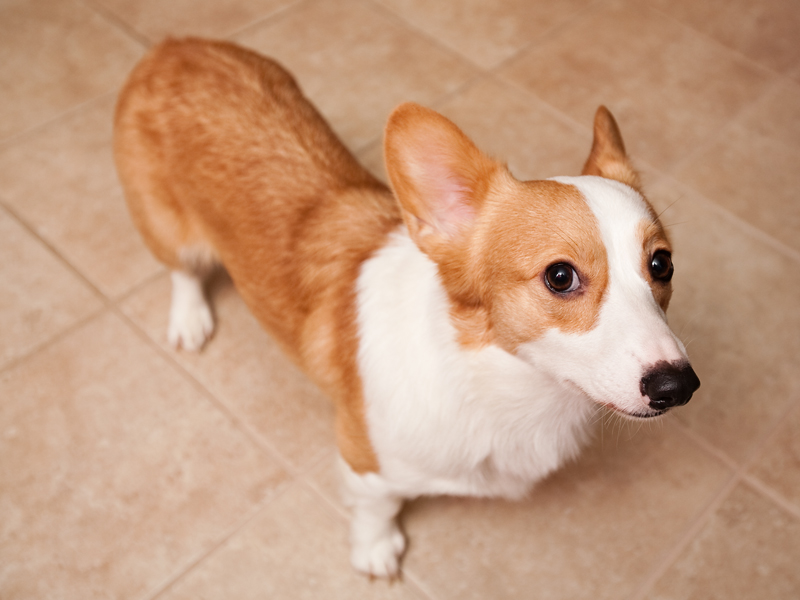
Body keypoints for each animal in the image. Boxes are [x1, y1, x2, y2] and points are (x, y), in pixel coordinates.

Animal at [114, 37, 700, 576]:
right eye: (560, 276)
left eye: (662, 264)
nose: (678, 386)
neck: (507, 386)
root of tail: (174, 47)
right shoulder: (365, 462)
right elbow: (378, 508)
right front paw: (376, 552)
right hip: (166, 228)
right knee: (183, 269)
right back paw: (190, 317)